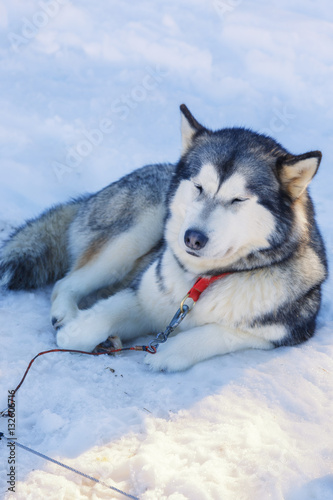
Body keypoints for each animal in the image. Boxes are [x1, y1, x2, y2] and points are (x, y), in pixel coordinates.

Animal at [0, 105, 326, 372]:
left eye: (238, 199)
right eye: (198, 187)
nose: (193, 238)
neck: (202, 280)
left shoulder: (284, 331)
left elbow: (218, 333)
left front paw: (170, 351)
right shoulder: (143, 294)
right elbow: (104, 315)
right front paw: (77, 332)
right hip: (137, 231)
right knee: (66, 282)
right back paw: (66, 313)